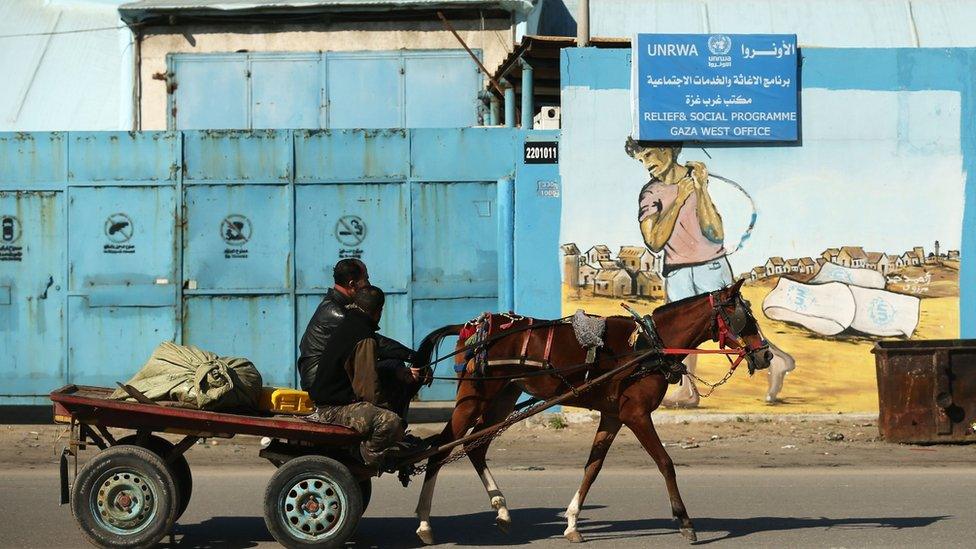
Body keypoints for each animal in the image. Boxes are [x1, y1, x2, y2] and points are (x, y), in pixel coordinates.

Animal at [410, 280, 772, 544]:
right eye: (744, 318)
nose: (765, 355)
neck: (649, 344)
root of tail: (470, 326)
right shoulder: (636, 414)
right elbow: (665, 463)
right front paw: (684, 521)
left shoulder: (613, 415)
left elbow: (592, 468)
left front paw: (571, 523)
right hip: (474, 397)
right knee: (439, 449)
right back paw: (425, 523)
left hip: (503, 397)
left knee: (476, 448)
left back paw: (501, 511)